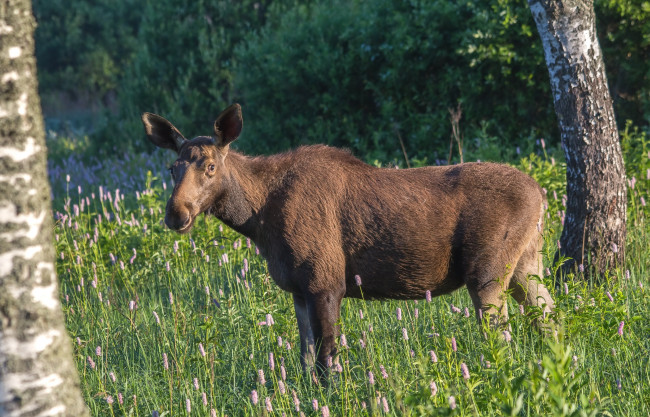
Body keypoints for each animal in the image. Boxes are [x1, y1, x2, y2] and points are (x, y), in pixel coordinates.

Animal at [142, 103, 552, 374]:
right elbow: (306, 360)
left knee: (503, 339)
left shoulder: (325, 283)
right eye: (172, 167)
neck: (258, 219)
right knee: (550, 321)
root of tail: (542, 193)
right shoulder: (298, 290)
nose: (176, 213)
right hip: (525, 265)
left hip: (487, 273)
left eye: (211, 166)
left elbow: (328, 363)